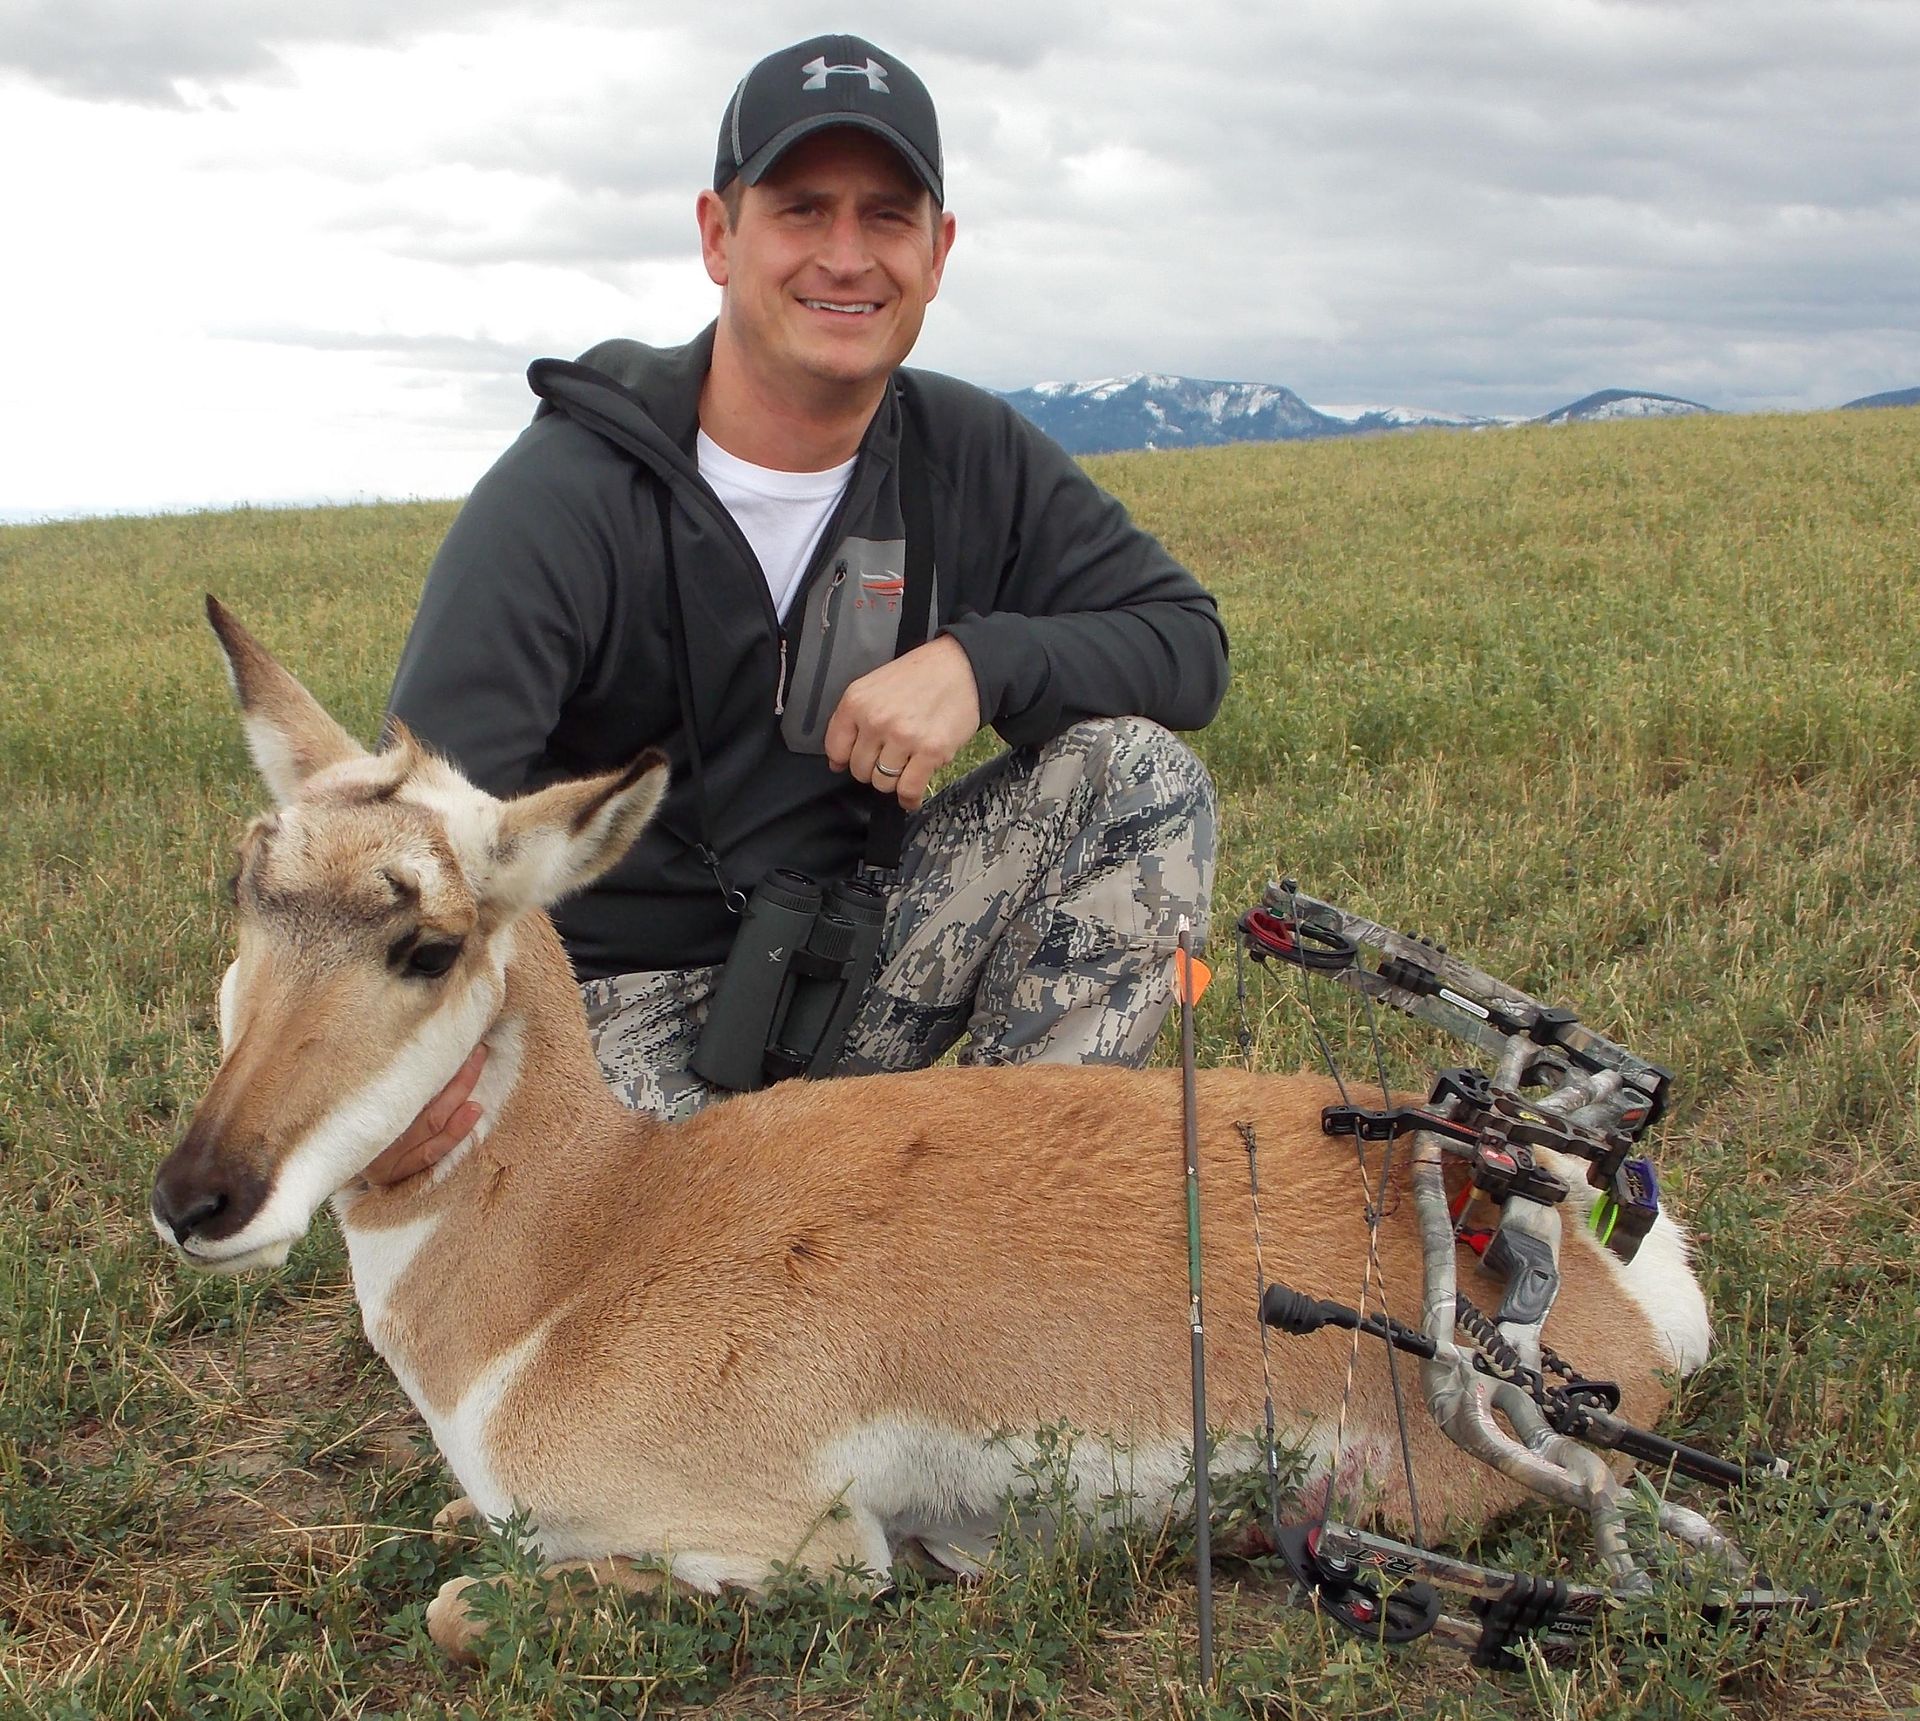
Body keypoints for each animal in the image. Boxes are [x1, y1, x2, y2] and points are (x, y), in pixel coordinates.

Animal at [152, 599, 1712, 1660]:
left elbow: (464, 1603)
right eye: (245, 886)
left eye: (423, 942)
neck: (586, 1247)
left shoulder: (801, 1546)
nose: (196, 1196)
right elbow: (460, 1532)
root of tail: (1580, 1226)